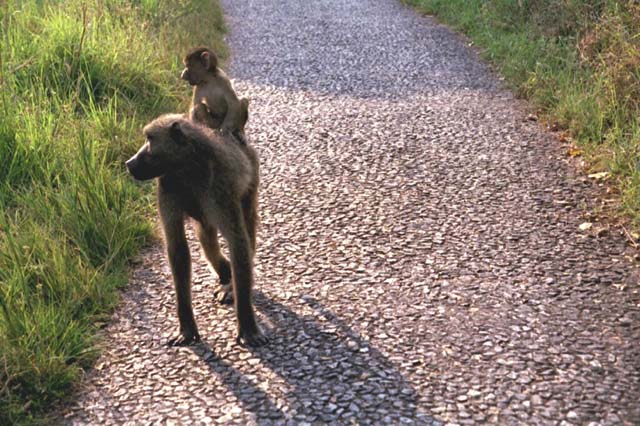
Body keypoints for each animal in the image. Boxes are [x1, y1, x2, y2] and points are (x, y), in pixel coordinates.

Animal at [125, 114, 266, 347]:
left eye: (150, 139)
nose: (129, 163)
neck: (187, 168)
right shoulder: (167, 187)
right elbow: (178, 248)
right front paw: (187, 328)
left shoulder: (220, 188)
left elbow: (238, 242)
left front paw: (248, 327)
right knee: (208, 240)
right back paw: (225, 272)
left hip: (252, 178)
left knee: (246, 229)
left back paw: (230, 284)